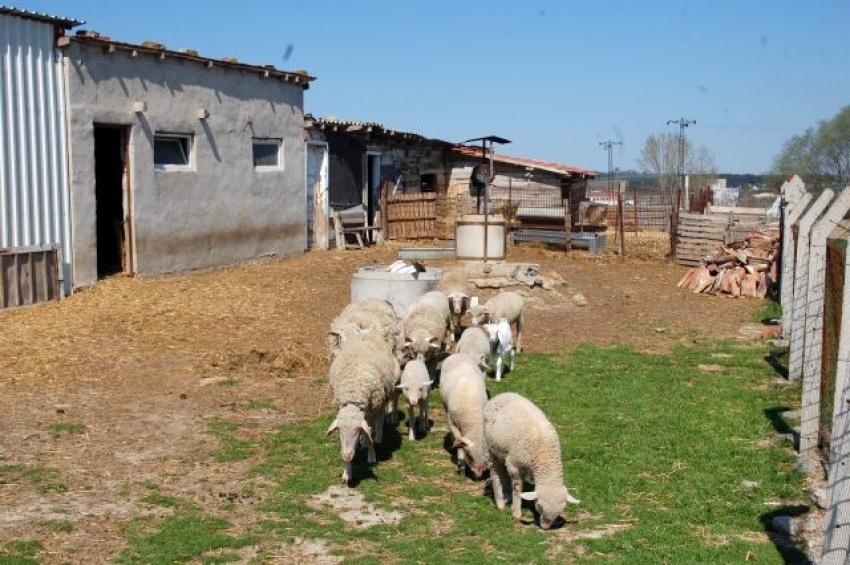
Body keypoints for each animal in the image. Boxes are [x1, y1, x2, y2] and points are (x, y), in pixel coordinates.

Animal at [328, 332, 400, 482]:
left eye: (355, 431)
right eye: (339, 431)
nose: (347, 455)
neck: (352, 393)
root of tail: (367, 333)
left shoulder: (371, 411)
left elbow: (368, 434)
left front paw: (371, 456)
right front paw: (347, 472)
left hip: (384, 394)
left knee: (380, 416)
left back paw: (378, 435)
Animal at [480, 392, 580, 528]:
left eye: (561, 510)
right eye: (540, 507)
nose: (545, 528)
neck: (545, 454)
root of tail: (502, 395)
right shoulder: (514, 464)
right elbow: (518, 488)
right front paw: (516, 512)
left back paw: (507, 495)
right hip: (490, 448)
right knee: (495, 473)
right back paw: (500, 502)